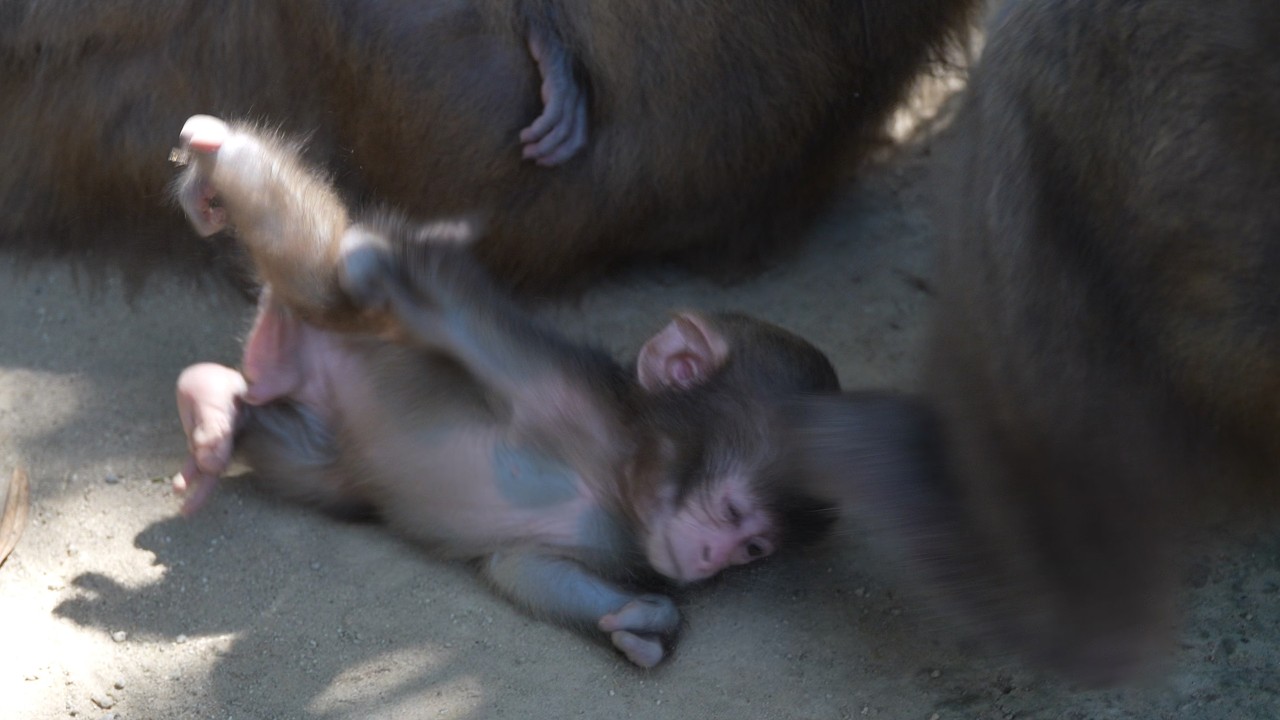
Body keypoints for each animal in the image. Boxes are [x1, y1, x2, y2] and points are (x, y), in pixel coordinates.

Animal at [168, 115, 845, 668]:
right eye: (729, 512)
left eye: (752, 547)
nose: (711, 561)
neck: (615, 473)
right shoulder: (549, 382)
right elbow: (426, 290)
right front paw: (375, 263)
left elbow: (521, 566)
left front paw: (644, 624)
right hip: (328, 323)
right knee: (312, 273)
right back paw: (222, 148)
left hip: (324, 438)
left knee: (301, 454)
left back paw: (213, 407)